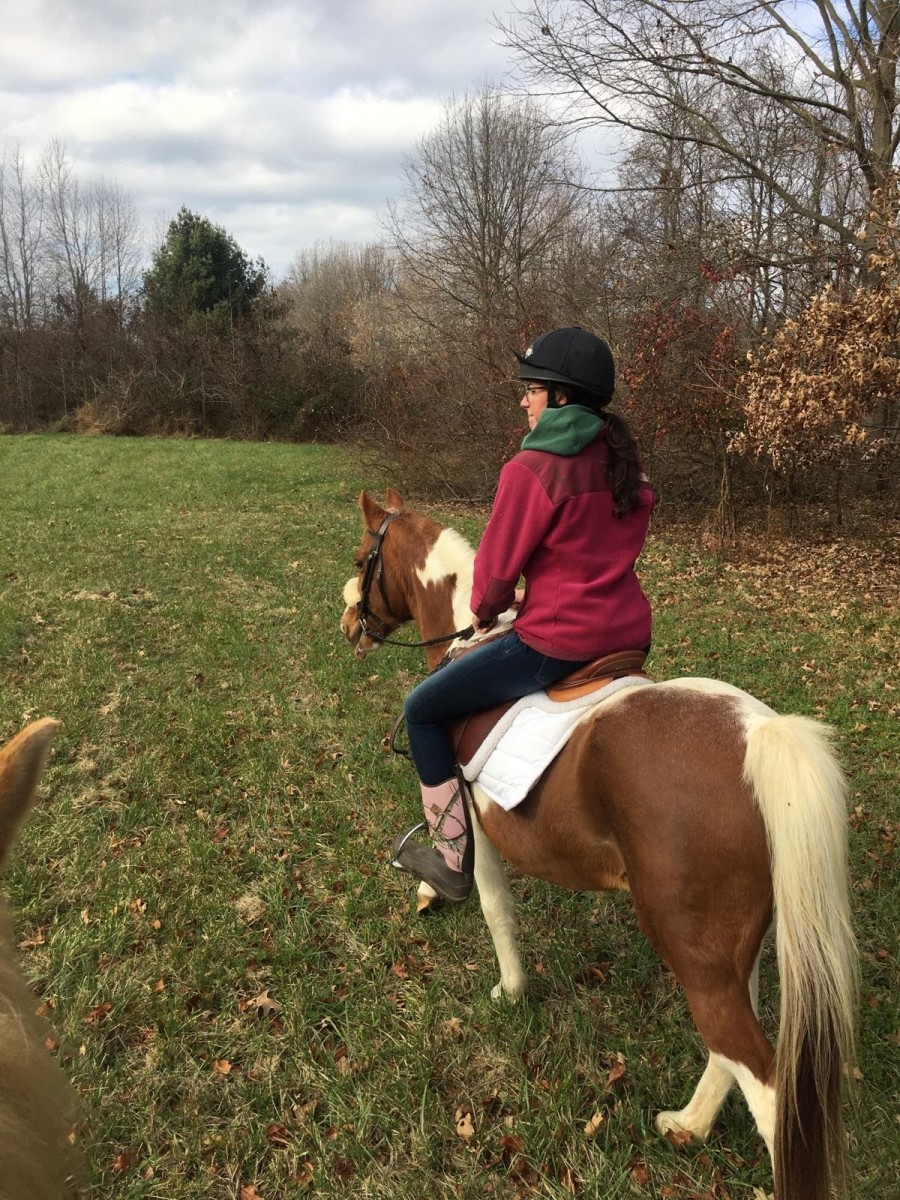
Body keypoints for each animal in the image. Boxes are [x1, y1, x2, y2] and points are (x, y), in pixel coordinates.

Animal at [339, 489, 857, 1200]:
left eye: (363, 556)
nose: (347, 621)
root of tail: (759, 736)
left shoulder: (477, 824)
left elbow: (492, 904)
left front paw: (504, 984)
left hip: (690, 944)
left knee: (766, 1086)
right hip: (727, 946)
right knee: (731, 1046)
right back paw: (687, 1126)